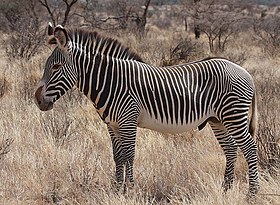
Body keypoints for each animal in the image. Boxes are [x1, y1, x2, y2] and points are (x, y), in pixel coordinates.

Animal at [34, 24, 258, 199]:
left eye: (56, 67)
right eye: (47, 65)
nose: (38, 100)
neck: (111, 82)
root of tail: (245, 71)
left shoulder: (128, 120)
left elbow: (129, 154)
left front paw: (130, 190)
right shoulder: (112, 125)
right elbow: (118, 156)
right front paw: (117, 190)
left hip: (233, 116)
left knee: (250, 148)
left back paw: (252, 194)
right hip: (218, 119)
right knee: (231, 150)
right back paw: (226, 190)